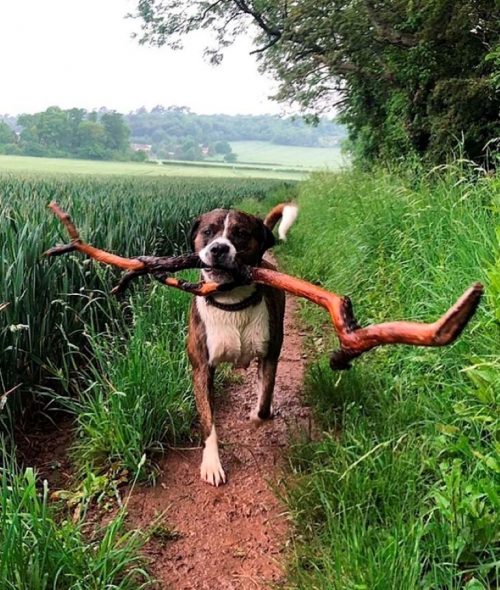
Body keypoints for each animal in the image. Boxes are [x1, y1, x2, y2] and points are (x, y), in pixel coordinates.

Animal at [187, 201, 296, 488]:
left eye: (241, 234)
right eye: (208, 231)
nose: (219, 248)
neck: (231, 301)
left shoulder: (270, 355)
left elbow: (264, 403)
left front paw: (256, 418)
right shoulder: (201, 369)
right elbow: (208, 421)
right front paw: (212, 464)